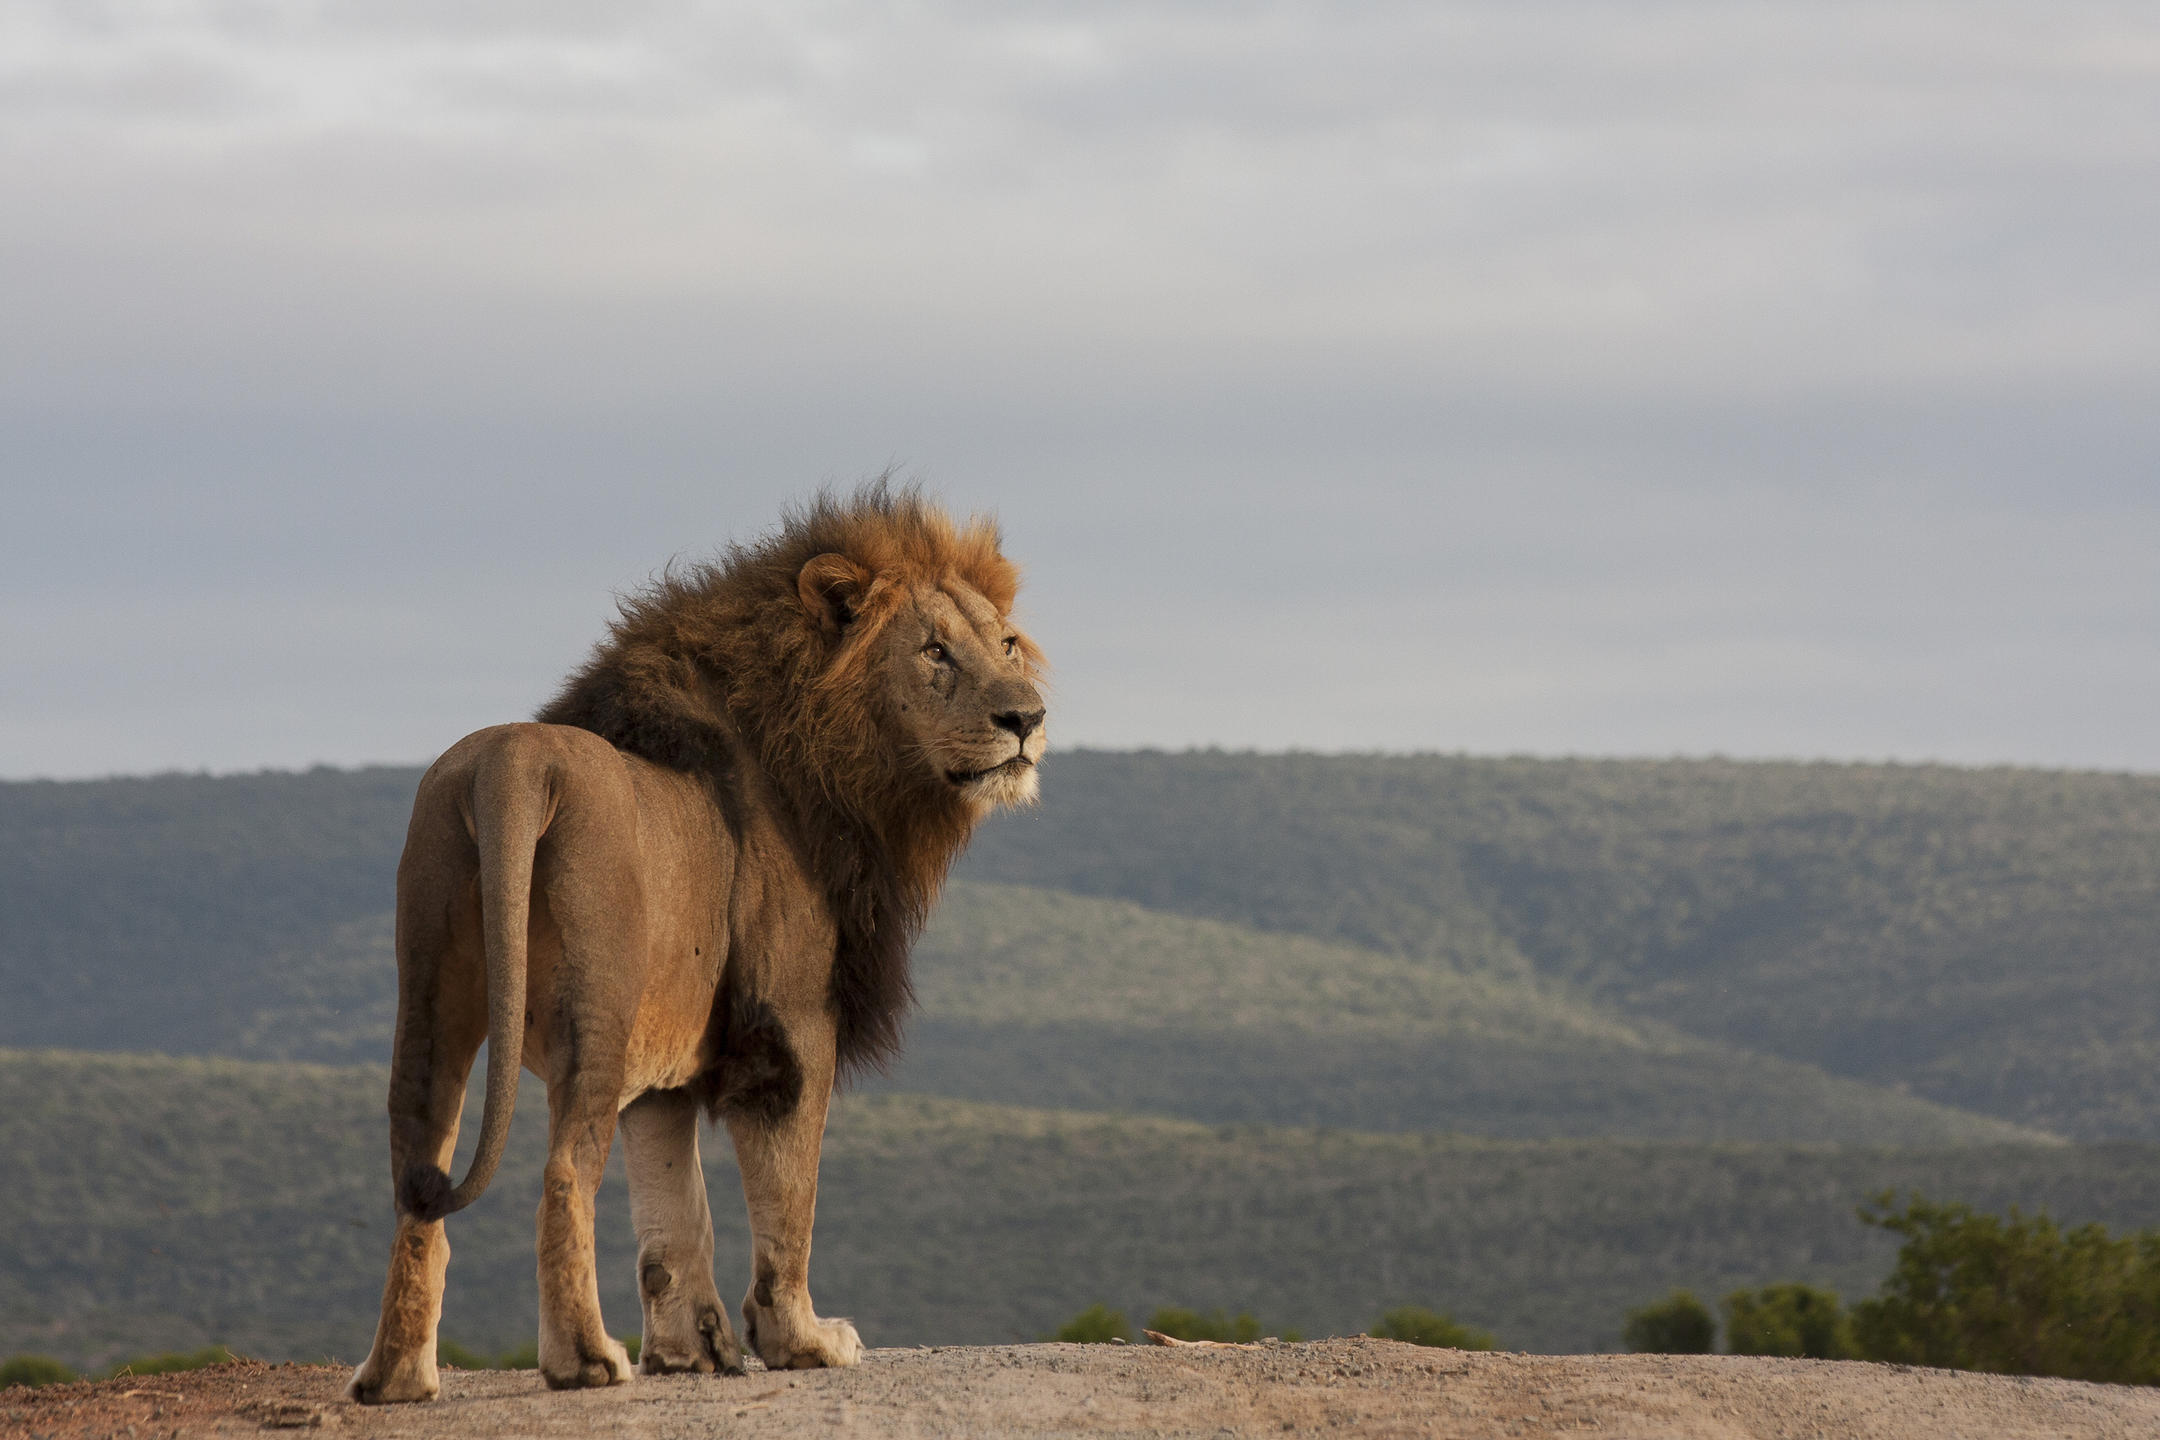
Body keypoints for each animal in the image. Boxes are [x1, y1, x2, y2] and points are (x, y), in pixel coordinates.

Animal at [345, 481, 1045, 1398]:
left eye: (1006, 644)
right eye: (934, 651)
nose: (1027, 716)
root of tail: (511, 765)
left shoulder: (665, 1067)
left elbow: (674, 1213)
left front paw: (687, 1352)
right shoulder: (790, 1028)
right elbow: (788, 1202)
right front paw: (801, 1340)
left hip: (434, 997)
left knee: (415, 1173)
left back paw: (397, 1377)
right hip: (595, 1013)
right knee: (565, 1172)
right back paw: (586, 1361)